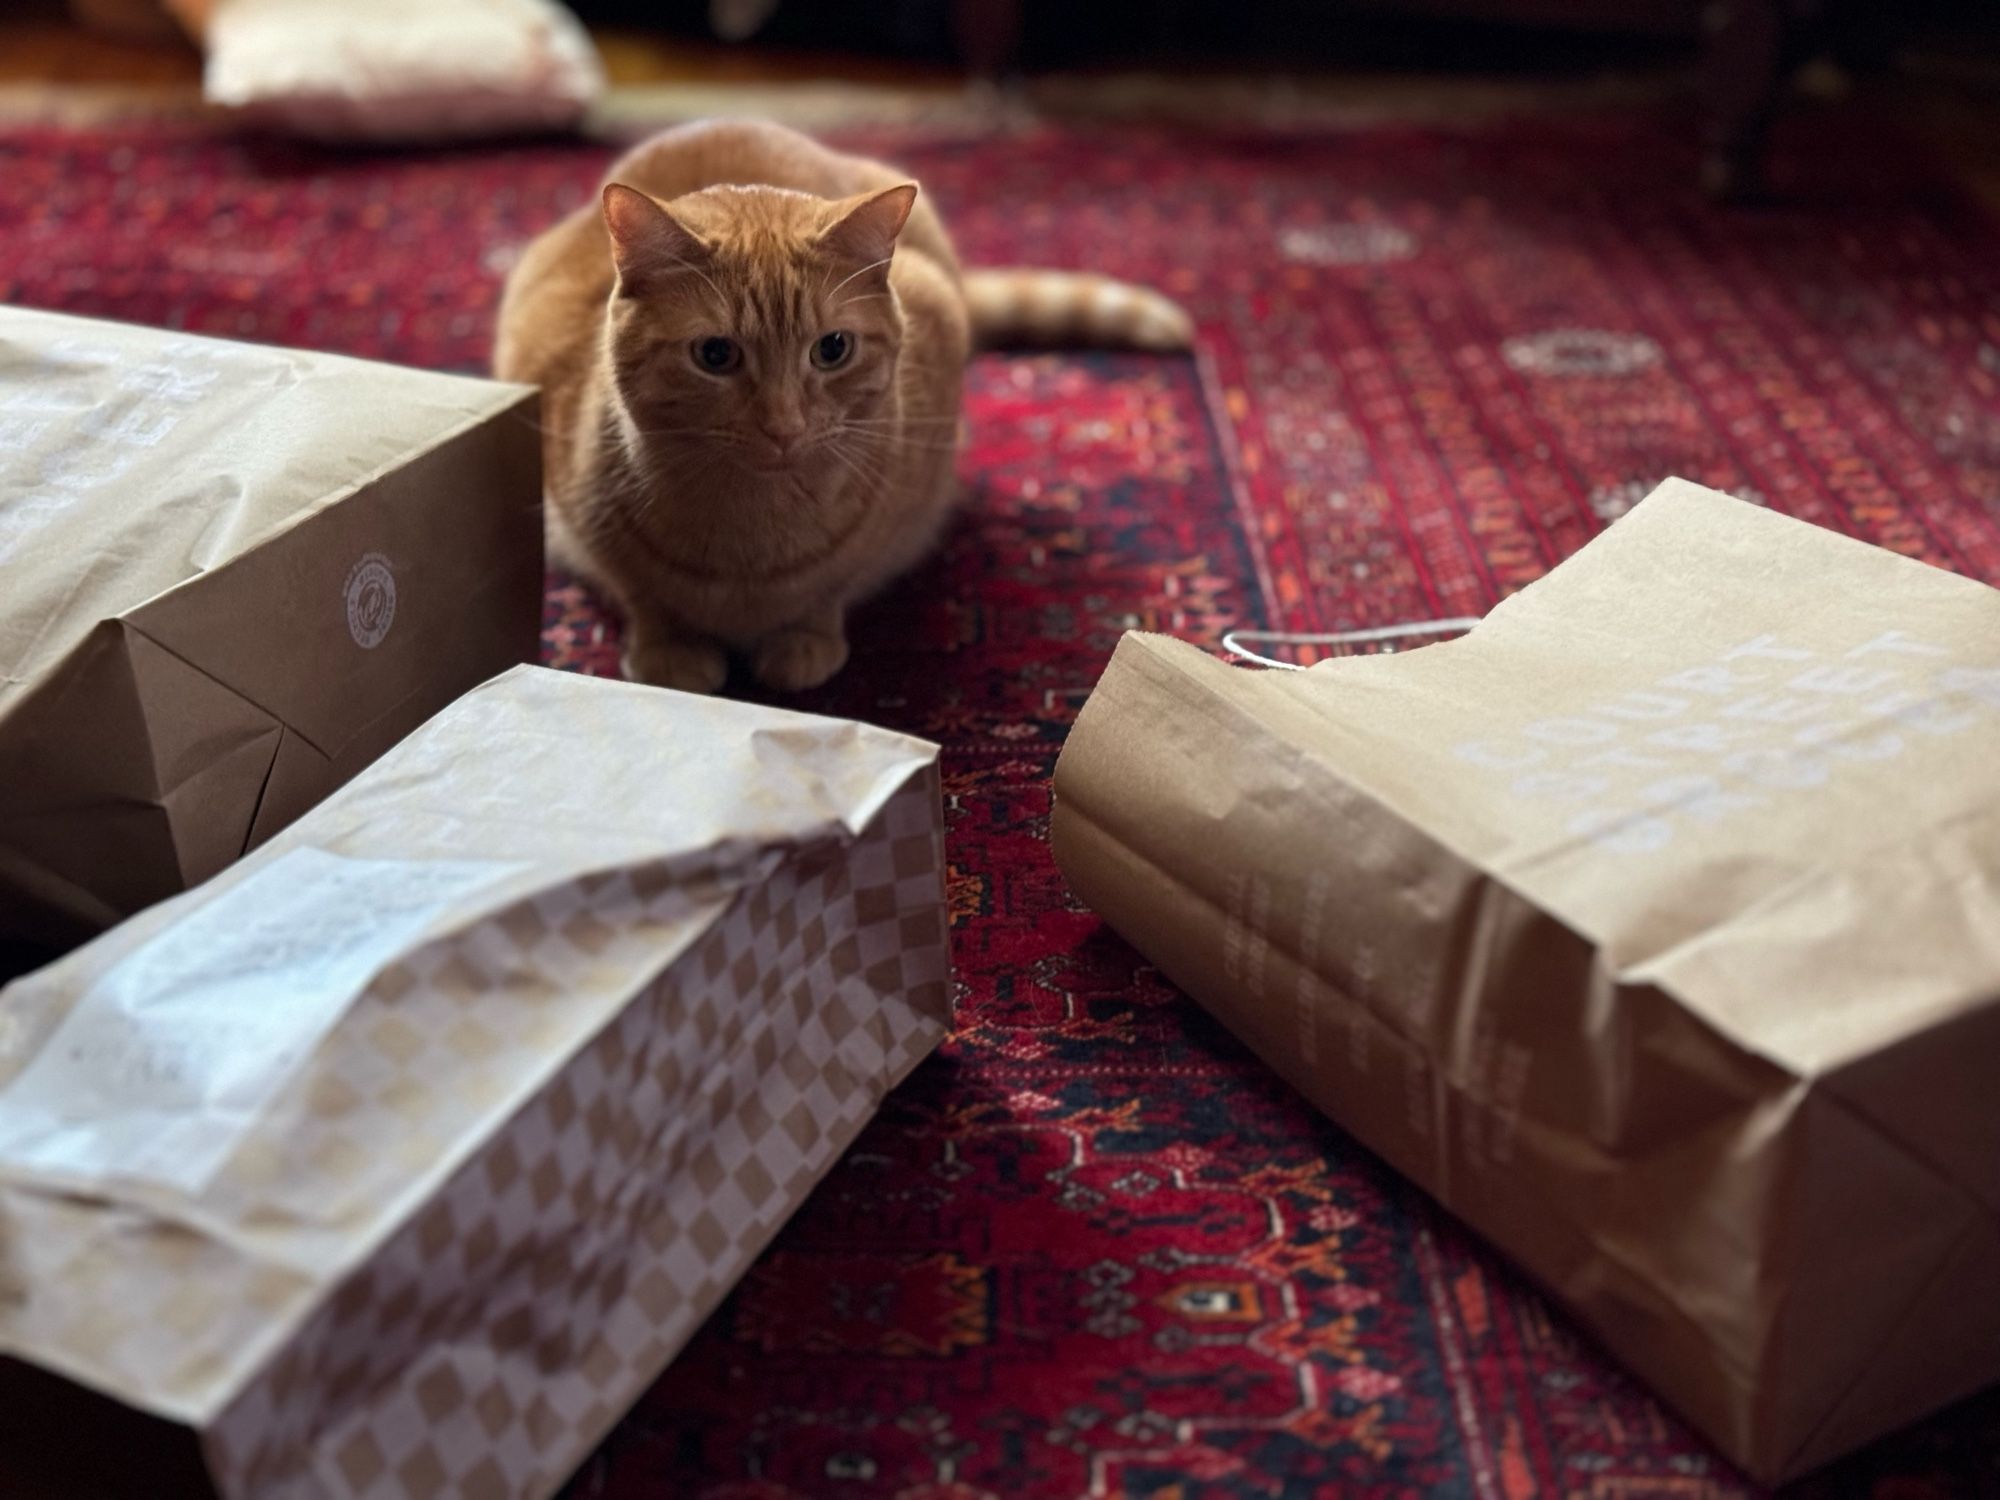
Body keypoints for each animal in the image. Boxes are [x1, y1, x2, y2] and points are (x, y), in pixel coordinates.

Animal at [498, 120, 1184, 696]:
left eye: (832, 349)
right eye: (715, 355)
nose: (783, 425)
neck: (751, 539)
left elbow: (833, 585)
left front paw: (805, 639)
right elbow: (642, 593)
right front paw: (669, 649)